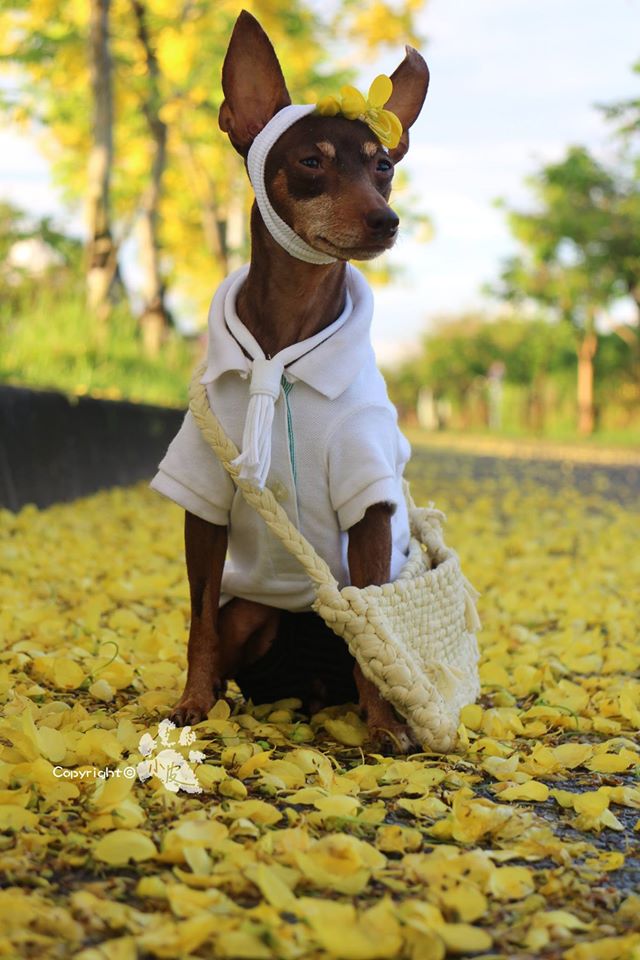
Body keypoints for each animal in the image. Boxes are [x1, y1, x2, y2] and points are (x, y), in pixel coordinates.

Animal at [150, 11, 430, 752]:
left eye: (384, 166)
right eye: (312, 162)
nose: (385, 220)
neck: (285, 339)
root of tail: (311, 690)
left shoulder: (370, 505)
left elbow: (373, 630)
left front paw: (385, 728)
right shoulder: (204, 499)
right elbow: (198, 620)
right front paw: (192, 703)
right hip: (254, 616)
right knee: (234, 633)